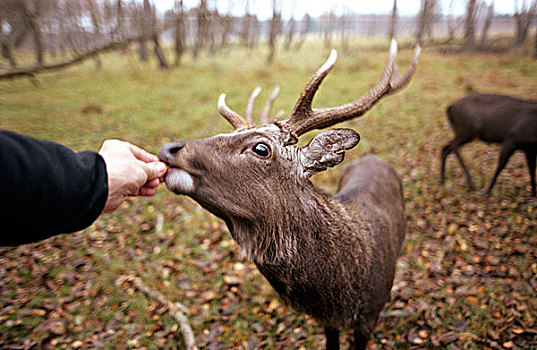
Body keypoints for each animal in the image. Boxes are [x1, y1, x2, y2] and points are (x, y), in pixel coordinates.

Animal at [157, 39, 420, 348]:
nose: (169, 149)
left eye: (261, 148)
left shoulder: (368, 318)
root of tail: (374, 157)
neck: (342, 293)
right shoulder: (327, 321)